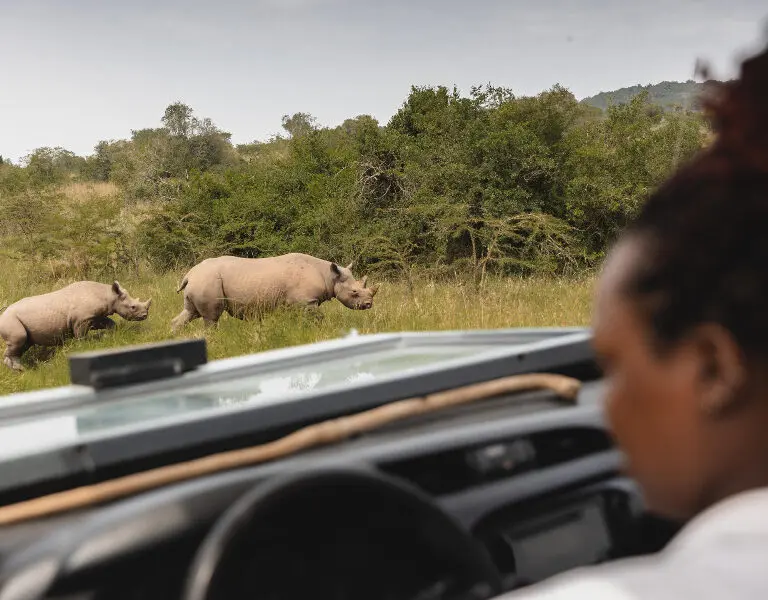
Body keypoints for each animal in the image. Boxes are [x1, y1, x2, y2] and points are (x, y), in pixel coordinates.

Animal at [0, 281, 151, 371]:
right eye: (133, 307)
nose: (145, 315)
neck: (109, 295)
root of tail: (2, 314)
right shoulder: (81, 319)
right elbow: (81, 336)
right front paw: (83, 347)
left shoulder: (94, 316)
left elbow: (109, 323)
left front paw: (111, 336)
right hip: (9, 320)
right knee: (19, 339)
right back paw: (19, 370)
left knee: (24, 343)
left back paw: (21, 370)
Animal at [171, 253, 379, 330]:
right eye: (354, 292)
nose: (369, 304)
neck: (329, 276)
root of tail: (189, 274)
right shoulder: (306, 301)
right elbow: (318, 318)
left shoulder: (297, 303)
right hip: (207, 281)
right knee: (211, 318)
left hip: (200, 282)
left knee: (190, 313)